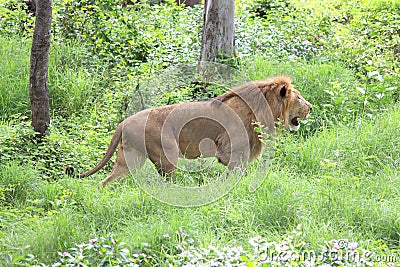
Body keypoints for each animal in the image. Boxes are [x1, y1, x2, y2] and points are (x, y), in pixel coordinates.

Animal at [66, 76, 312, 187]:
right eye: (299, 97)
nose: (311, 107)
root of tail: (123, 122)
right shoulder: (229, 150)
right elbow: (238, 172)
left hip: (129, 159)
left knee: (107, 181)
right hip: (166, 156)